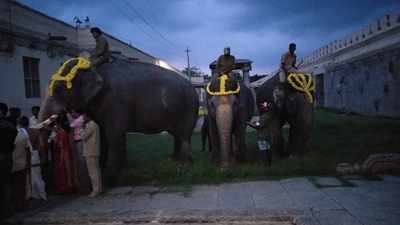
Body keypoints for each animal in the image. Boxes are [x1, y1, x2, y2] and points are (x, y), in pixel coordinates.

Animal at [39, 57, 198, 184]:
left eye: (58, 89)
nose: (60, 119)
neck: (94, 68)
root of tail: (192, 86)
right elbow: (102, 136)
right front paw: (104, 169)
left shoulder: (115, 102)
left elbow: (114, 135)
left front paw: (113, 176)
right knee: (177, 135)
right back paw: (173, 159)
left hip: (188, 109)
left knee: (185, 135)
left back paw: (187, 164)